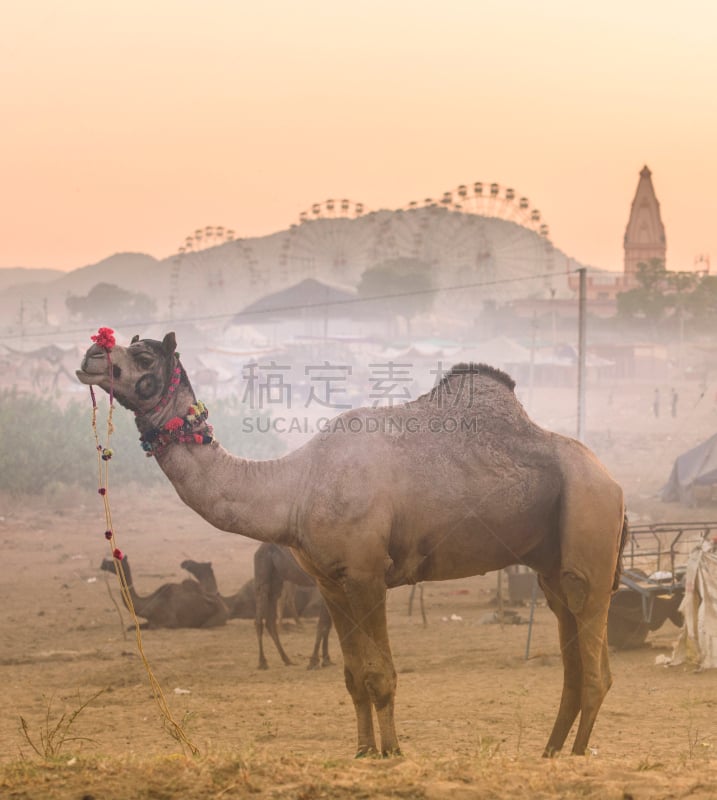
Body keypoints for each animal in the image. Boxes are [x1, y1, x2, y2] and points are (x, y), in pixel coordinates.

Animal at [99, 552, 228, 628]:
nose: (103, 563)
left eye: (114, 561)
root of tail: (225, 609)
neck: (148, 606)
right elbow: (131, 627)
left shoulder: (169, 622)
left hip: (213, 620)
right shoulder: (150, 621)